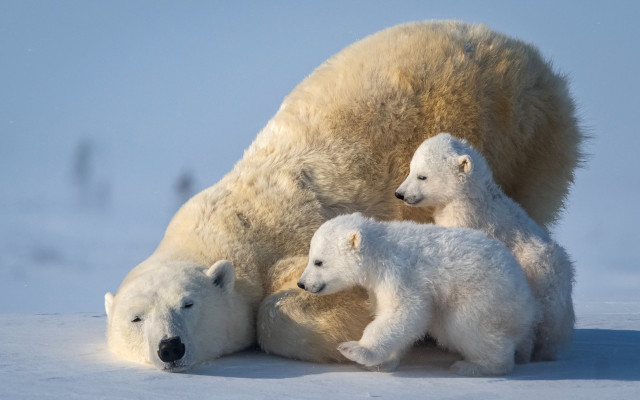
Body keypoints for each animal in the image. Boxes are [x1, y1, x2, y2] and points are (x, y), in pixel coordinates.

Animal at [297, 213, 537, 376]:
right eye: (311, 257)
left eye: (318, 261)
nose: (302, 283)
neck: (379, 251)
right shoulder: (378, 285)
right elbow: (391, 315)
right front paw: (384, 363)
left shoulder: (400, 273)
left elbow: (406, 311)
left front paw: (355, 349)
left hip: (483, 294)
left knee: (467, 326)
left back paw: (473, 366)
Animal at [395, 132, 576, 361]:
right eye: (411, 169)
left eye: (422, 176)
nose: (399, 194)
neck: (470, 197)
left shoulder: (467, 219)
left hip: (538, 280)